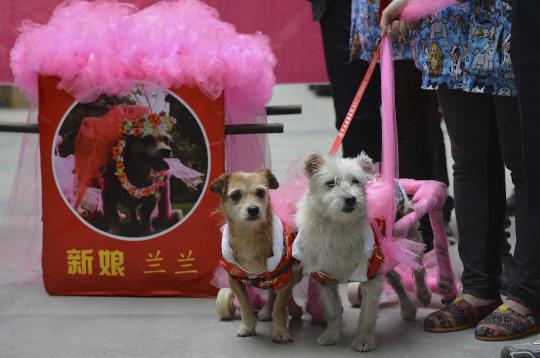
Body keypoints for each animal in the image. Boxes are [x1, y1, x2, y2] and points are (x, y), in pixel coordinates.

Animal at [211, 170, 304, 344]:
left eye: (261, 192)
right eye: (236, 195)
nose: (253, 209)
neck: (249, 237)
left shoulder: (284, 276)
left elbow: (279, 306)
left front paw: (280, 330)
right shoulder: (234, 281)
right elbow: (245, 304)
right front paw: (247, 326)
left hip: (295, 272)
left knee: (283, 293)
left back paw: (293, 309)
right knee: (272, 293)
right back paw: (266, 311)